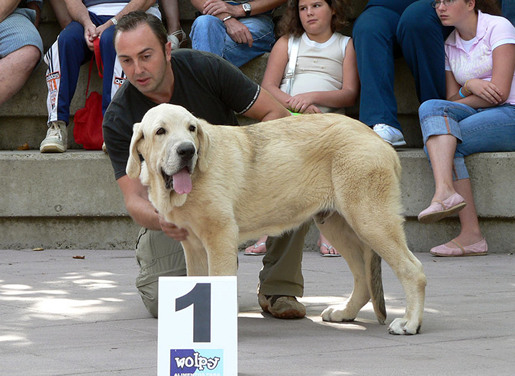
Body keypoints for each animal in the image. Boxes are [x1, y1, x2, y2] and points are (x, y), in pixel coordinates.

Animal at [128, 103, 428, 334]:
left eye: (191, 128)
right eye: (160, 131)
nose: (187, 151)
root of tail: (378, 140)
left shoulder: (220, 238)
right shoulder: (193, 245)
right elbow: (200, 285)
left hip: (370, 220)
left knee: (412, 270)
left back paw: (409, 323)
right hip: (337, 225)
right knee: (364, 278)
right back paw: (345, 312)